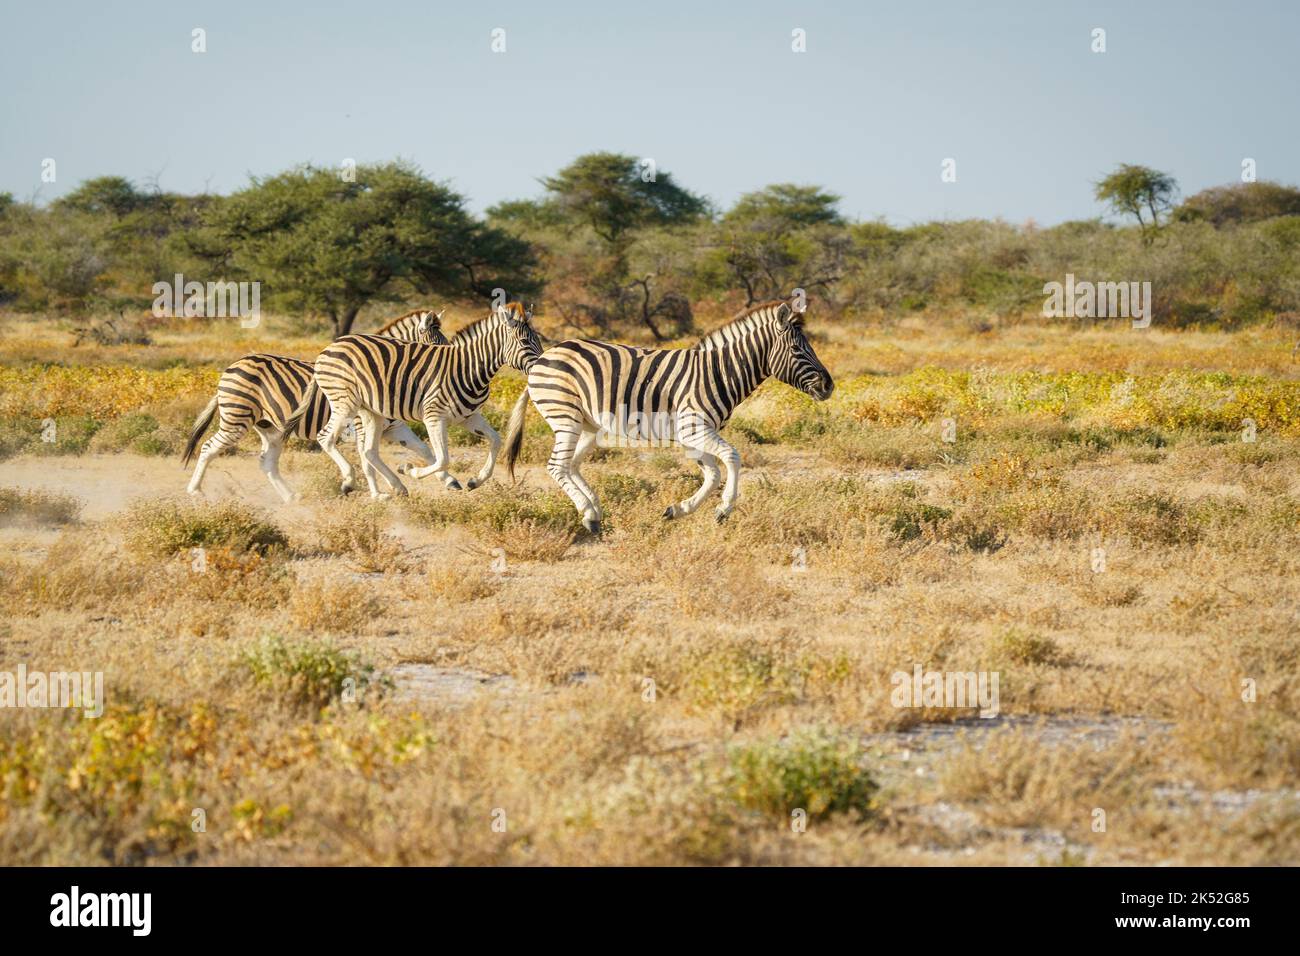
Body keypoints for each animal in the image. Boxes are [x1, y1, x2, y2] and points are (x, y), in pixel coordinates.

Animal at [180, 308, 449, 504]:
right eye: (437, 346)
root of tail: (231, 366)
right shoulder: (363, 425)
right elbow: (368, 460)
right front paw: (377, 493)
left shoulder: (395, 427)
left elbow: (426, 450)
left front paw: (448, 480)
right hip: (237, 418)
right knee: (208, 448)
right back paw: (195, 491)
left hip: (269, 427)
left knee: (267, 462)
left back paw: (291, 496)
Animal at [282, 303, 540, 502]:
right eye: (525, 342)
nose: (541, 366)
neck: (469, 369)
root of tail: (329, 348)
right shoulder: (433, 416)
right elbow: (442, 458)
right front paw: (411, 471)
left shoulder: (468, 417)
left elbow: (495, 440)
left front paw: (475, 480)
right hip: (346, 405)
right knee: (326, 438)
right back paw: (348, 481)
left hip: (371, 413)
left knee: (369, 451)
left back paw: (396, 486)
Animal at [496, 299, 832, 535]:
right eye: (798, 349)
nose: (829, 386)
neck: (718, 372)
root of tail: (543, 357)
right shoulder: (693, 428)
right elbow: (732, 458)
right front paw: (724, 509)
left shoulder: (692, 435)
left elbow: (713, 474)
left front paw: (680, 509)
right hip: (565, 417)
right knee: (557, 466)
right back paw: (588, 515)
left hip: (589, 426)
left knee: (572, 465)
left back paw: (593, 511)